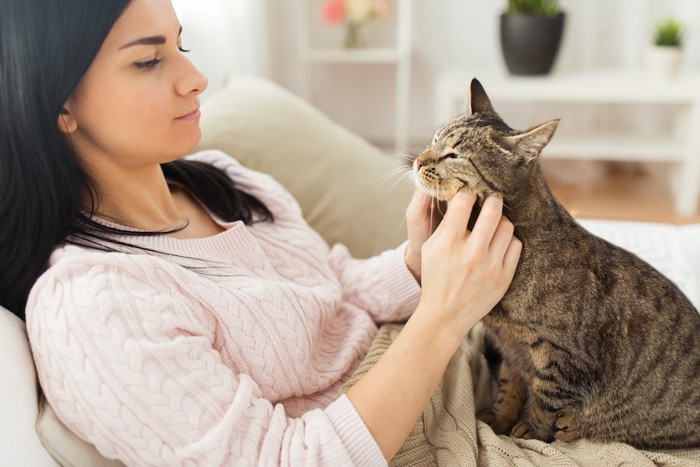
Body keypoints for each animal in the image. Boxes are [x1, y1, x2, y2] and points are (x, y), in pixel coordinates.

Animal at [412, 78, 700, 452]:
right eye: (434, 140)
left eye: (453, 155)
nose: (417, 161)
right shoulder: (511, 349)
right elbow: (509, 386)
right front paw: (500, 420)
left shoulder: (561, 359)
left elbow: (544, 401)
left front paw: (530, 433)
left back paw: (573, 426)